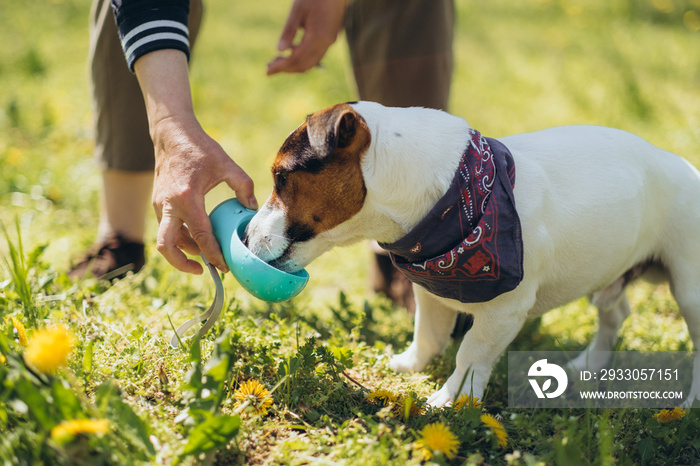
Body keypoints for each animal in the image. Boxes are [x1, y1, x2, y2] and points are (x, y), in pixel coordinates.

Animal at [245, 102, 700, 408]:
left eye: (281, 177)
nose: (246, 237)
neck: (453, 193)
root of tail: (682, 164)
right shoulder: (430, 291)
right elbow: (428, 335)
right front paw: (409, 365)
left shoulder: (504, 310)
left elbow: (471, 352)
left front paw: (452, 398)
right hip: (605, 266)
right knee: (615, 312)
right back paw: (588, 364)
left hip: (689, 290)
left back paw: (688, 404)